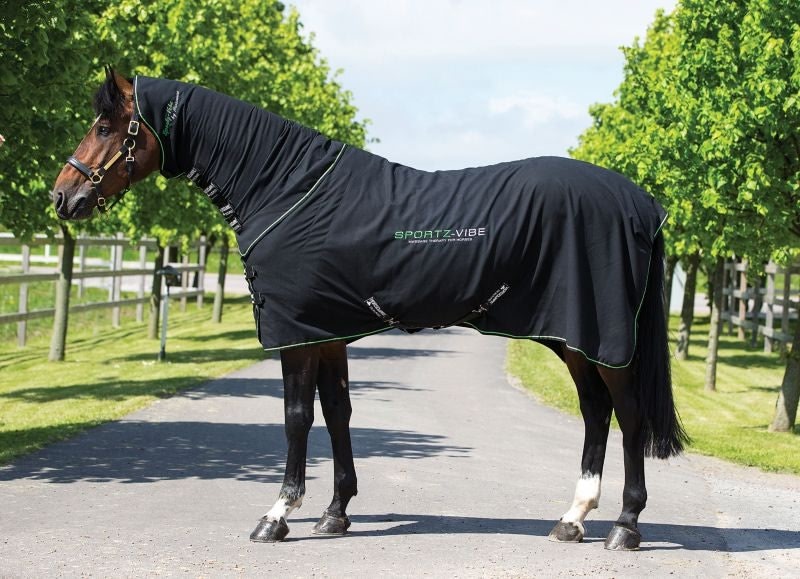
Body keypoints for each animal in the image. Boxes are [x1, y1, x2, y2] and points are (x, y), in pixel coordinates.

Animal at [52, 68, 687, 550]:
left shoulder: (295, 335)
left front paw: (277, 516)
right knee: (596, 413)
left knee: (628, 416)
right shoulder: (326, 333)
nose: (64, 196)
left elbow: (296, 418)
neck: (285, 188)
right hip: (572, 340)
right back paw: (572, 518)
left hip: (601, 341)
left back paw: (625, 527)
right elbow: (338, 414)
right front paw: (335, 513)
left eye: (105, 126)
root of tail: (641, 201)